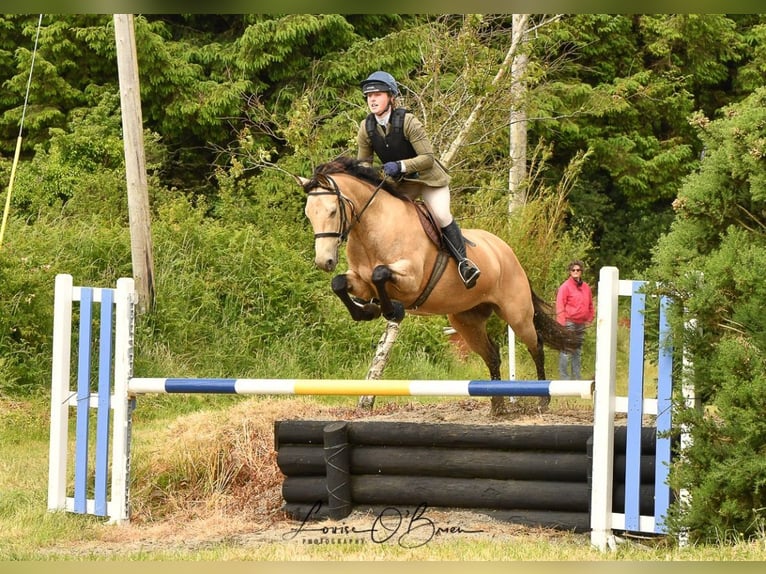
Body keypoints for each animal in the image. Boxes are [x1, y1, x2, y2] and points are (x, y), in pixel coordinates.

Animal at [300, 158, 584, 418]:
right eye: (309, 214)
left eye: (332, 212)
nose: (324, 261)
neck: (373, 229)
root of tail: (506, 251)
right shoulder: (360, 281)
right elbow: (339, 283)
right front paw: (366, 310)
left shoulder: (411, 280)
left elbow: (381, 274)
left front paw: (391, 311)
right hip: (466, 321)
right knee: (492, 355)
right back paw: (498, 406)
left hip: (516, 314)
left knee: (536, 346)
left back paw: (542, 401)